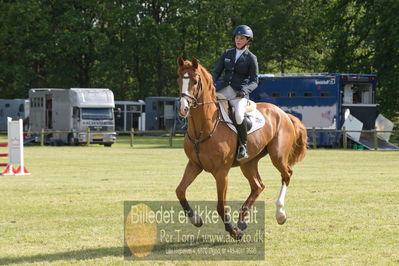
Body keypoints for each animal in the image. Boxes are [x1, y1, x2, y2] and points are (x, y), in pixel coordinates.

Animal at [176, 57, 310, 240]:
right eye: (179, 80)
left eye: (195, 82)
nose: (183, 108)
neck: (203, 128)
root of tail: (283, 113)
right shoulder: (194, 165)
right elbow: (180, 191)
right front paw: (196, 219)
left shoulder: (221, 172)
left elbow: (221, 206)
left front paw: (234, 232)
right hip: (248, 163)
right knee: (258, 186)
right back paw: (242, 222)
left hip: (278, 156)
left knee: (286, 175)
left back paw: (280, 214)